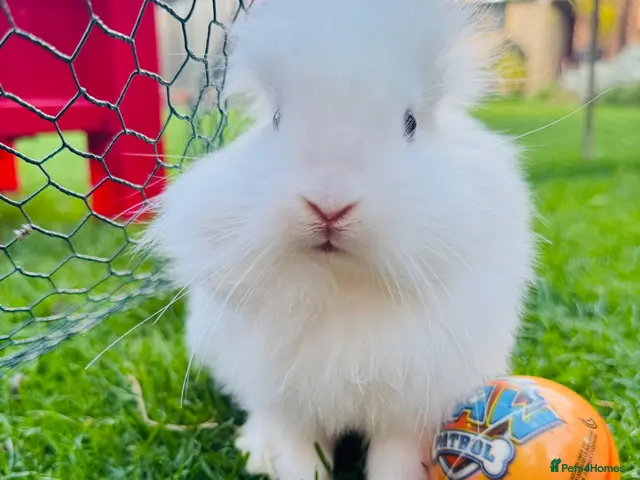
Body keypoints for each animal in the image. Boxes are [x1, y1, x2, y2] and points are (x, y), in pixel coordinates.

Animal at [143, 0, 536, 478]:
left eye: (410, 123)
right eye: (276, 119)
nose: (329, 205)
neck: (340, 284)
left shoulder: (408, 412)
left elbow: (394, 462)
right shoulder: (290, 408)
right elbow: (299, 458)